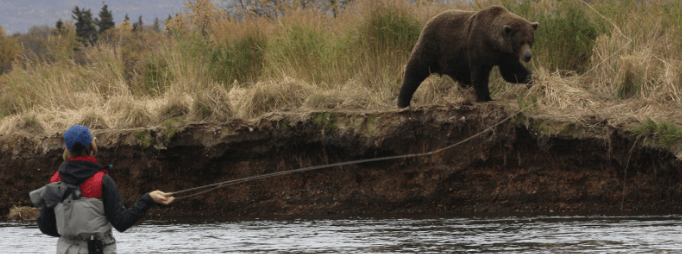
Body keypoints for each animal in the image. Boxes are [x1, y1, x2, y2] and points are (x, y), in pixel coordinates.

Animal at [398, 5, 536, 107]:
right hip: (432, 46)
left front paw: (529, 80)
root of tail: (429, 20)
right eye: (520, 42)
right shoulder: (479, 46)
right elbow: (480, 73)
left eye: (530, 41)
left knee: (463, 78)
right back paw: (403, 101)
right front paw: (485, 97)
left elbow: (511, 71)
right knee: (415, 70)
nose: (528, 56)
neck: (494, 42)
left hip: (455, 61)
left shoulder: (505, 54)